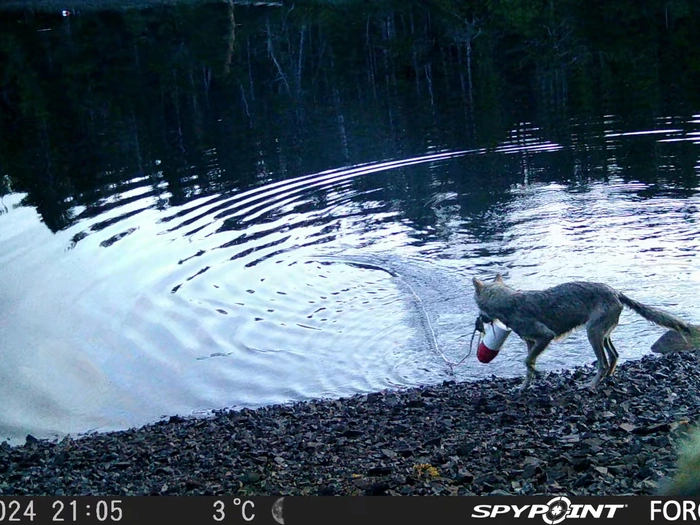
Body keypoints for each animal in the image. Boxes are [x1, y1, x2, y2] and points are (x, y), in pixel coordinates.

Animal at [472, 274, 694, 391]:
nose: (479, 322)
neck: (508, 303)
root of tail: (617, 292)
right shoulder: (531, 342)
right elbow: (527, 365)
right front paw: (524, 387)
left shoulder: (545, 336)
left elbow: (527, 362)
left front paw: (536, 374)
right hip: (602, 335)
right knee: (614, 357)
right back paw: (607, 378)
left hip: (593, 334)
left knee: (603, 363)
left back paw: (591, 385)